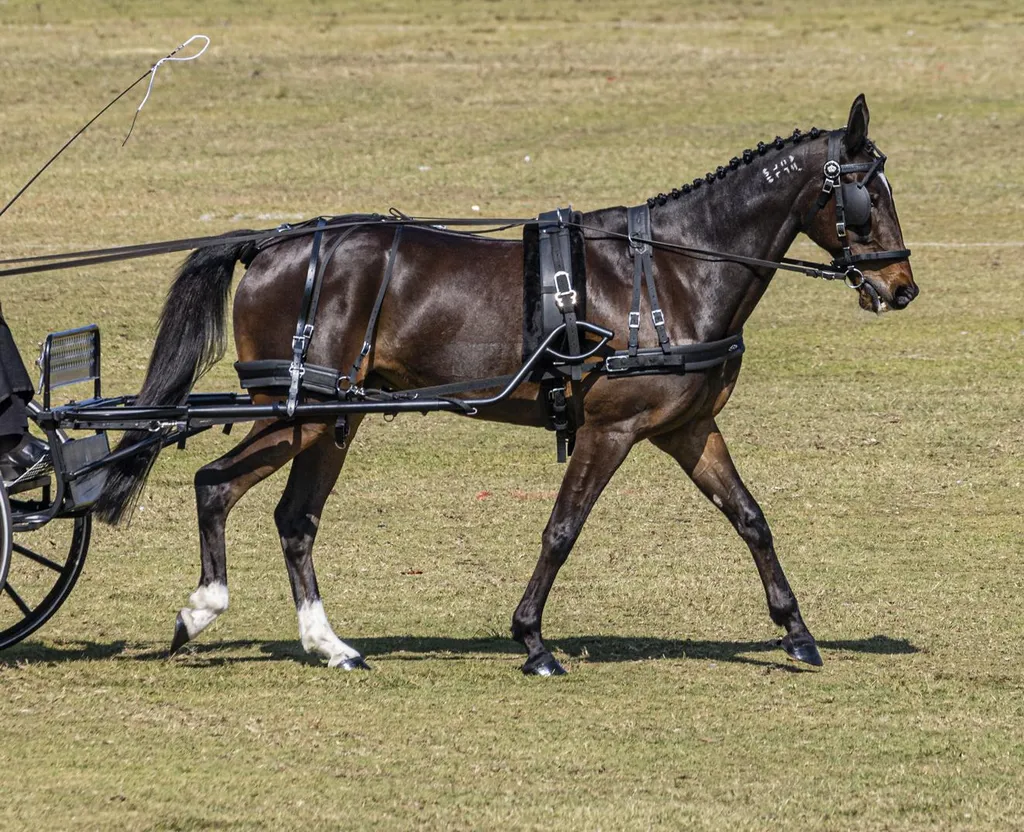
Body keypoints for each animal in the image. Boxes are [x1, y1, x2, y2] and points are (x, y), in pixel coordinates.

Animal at [94, 94, 917, 676]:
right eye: (867, 194)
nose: (902, 287)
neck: (673, 272)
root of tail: (271, 244)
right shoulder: (611, 429)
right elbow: (562, 529)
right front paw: (533, 641)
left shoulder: (687, 428)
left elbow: (750, 517)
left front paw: (797, 632)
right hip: (294, 412)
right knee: (213, 483)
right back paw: (202, 610)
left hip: (331, 419)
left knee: (294, 520)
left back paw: (330, 645)